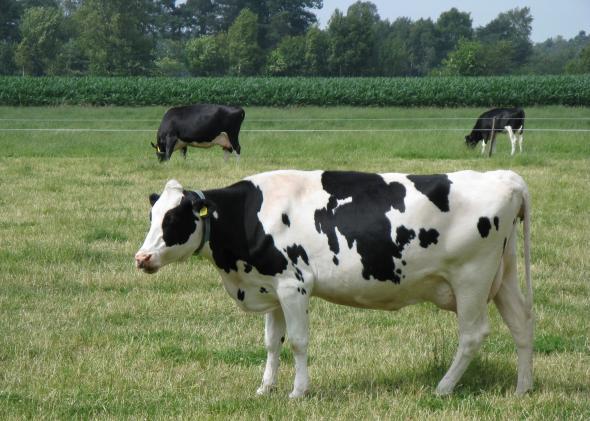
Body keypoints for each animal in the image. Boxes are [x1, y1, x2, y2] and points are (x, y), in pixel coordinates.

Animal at [136, 168, 536, 398]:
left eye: (173, 219)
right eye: (152, 216)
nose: (141, 258)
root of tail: (505, 176)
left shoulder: (293, 285)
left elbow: (297, 342)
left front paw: (298, 392)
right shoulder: (270, 286)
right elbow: (271, 342)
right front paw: (265, 388)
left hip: (472, 278)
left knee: (472, 335)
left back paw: (443, 387)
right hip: (504, 275)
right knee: (521, 323)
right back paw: (522, 389)